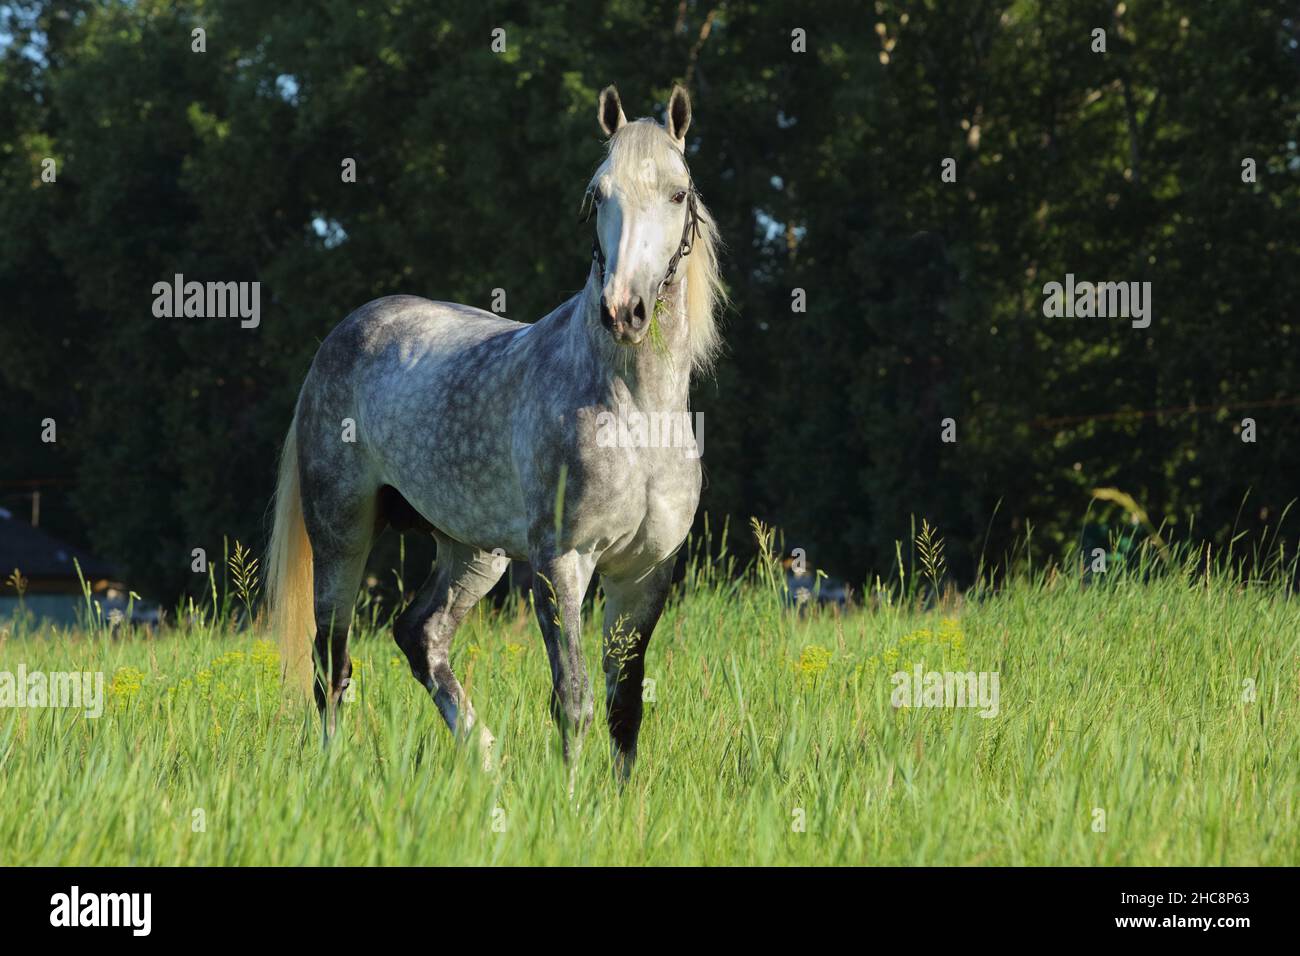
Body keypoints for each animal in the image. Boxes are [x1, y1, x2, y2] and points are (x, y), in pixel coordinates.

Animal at [269, 83, 728, 780]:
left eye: (678, 194)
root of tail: (344, 334)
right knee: (332, 663)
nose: (623, 311)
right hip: (342, 537)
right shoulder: (561, 563)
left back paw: (486, 759)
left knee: (421, 636)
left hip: (470, 551)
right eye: (598, 195)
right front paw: (570, 799)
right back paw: (332, 769)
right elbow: (573, 699)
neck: (635, 414)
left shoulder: (645, 573)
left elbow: (624, 706)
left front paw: (624, 800)